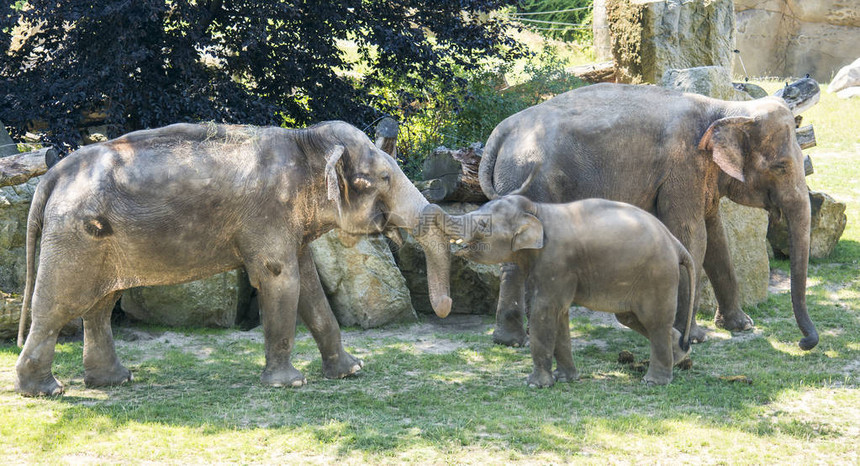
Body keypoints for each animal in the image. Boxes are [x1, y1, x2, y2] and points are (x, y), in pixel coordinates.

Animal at [15, 121, 456, 396]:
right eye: (382, 178)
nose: (445, 308)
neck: (306, 141)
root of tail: (55, 173)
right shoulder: (269, 211)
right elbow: (282, 279)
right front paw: (290, 385)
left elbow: (310, 287)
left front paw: (352, 371)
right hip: (75, 235)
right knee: (58, 305)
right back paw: (47, 391)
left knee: (100, 306)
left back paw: (115, 381)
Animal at [440, 196, 696, 386]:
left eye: (484, 225)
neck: (537, 209)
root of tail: (676, 243)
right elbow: (559, 314)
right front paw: (565, 379)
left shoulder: (557, 262)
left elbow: (544, 312)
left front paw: (535, 384)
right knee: (631, 317)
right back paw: (678, 357)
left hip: (658, 274)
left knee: (654, 320)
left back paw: (654, 381)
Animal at [480, 83, 816, 352]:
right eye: (781, 167)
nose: (804, 343)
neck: (727, 109)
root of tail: (501, 131)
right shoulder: (683, 168)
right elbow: (692, 237)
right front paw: (694, 337)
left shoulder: (702, 177)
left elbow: (716, 238)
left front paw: (741, 326)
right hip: (531, 177)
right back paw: (516, 340)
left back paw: (515, 338)